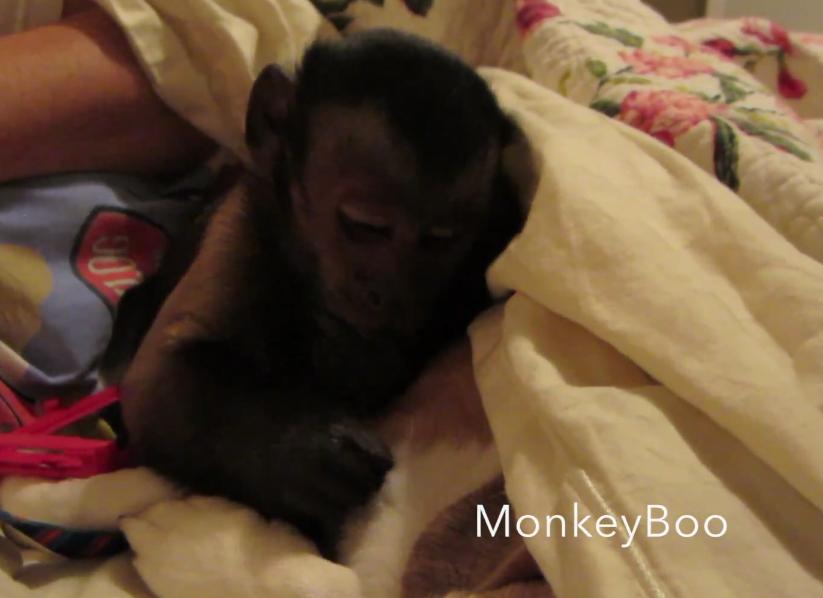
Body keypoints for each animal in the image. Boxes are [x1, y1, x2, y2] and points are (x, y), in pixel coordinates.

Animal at [106, 29, 524, 556]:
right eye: (366, 226)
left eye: (440, 239)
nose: (390, 293)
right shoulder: (241, 228)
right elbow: (153, 386)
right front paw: (306, 449)